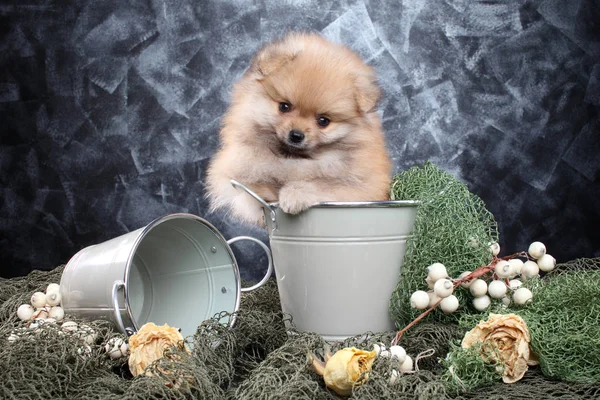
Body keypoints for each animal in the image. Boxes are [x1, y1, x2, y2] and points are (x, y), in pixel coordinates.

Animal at [206, 32, 394, 225]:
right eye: (284, 107)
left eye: (323, 121)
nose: (296, 135)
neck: (293, 157)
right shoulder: (236, 169)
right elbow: (254, 186)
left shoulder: (359, 186)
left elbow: (320, 184)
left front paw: (293, 195)